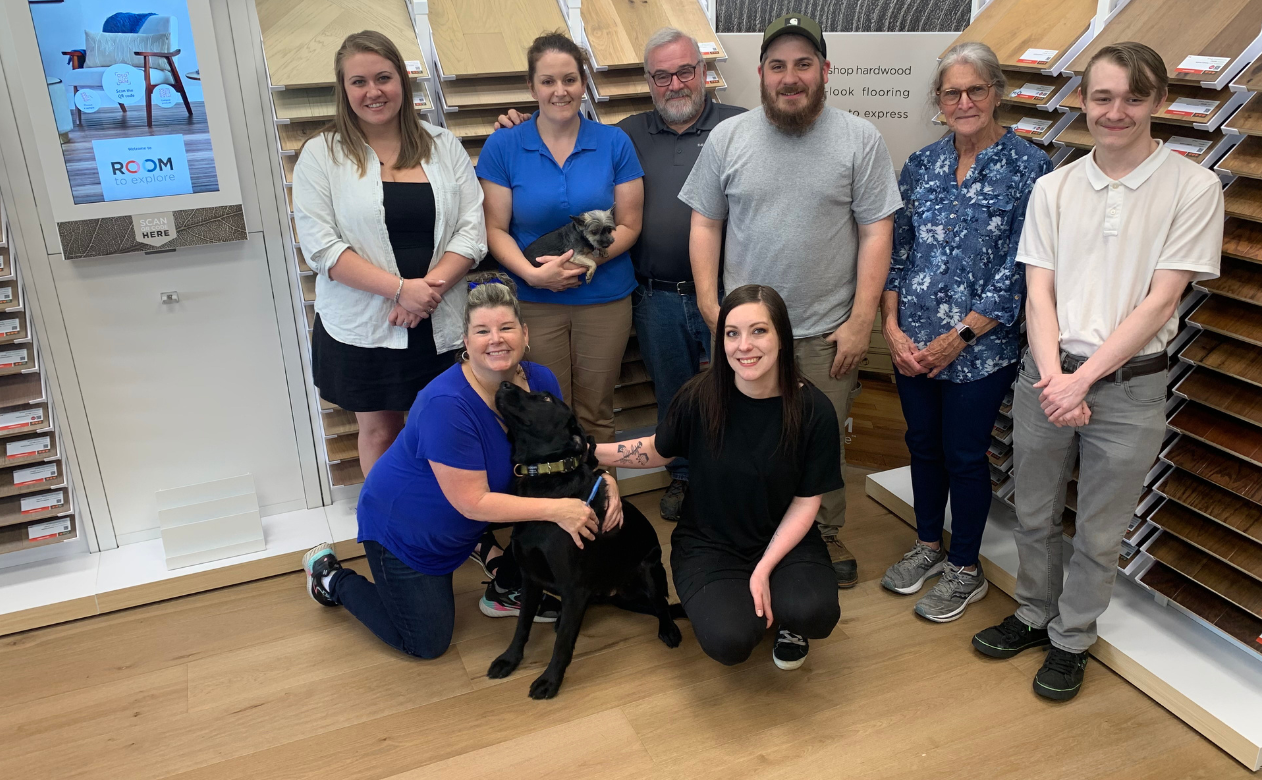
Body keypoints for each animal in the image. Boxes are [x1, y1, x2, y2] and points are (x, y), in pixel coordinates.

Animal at [487, 378, 681, 696]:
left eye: (546, 398)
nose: (503, 383)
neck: (546, 482)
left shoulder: (573, 586)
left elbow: (563, 642)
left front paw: (550, 680)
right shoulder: (530, 577)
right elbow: (522, 626)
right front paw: (509, 659)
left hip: (649, 569)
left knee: (661, 604)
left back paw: (668, 630)